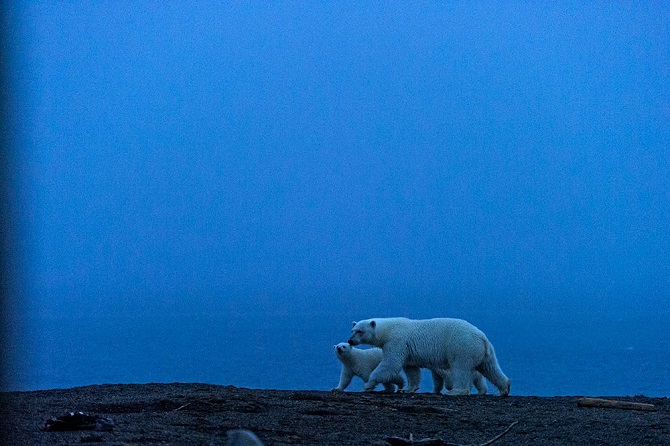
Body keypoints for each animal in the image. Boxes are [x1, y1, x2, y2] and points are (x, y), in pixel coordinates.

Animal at [350, 316, 512, 396]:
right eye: (352, 329)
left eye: (360, 331)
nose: (350, 340)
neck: (388, 329)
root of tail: (481, 337)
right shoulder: (408, 349)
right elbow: (412, 370)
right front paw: (408, 389)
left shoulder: (397, 342)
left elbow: (390, 365)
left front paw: (368, 385)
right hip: (484, 352)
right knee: (490, 368)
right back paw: (503, 389)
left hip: (462, 347)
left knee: (460, 369)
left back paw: (454, 391)